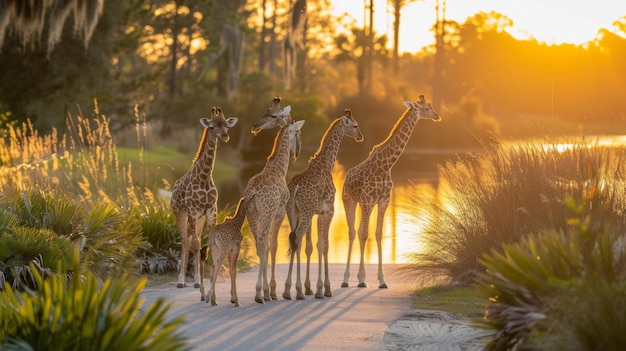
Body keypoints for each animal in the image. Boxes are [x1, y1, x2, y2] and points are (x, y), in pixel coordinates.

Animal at [169, 106, 238, 292]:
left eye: (226, 125)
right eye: (212, 126)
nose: (225, 136)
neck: (205, 177)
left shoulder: (211, 210)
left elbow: (210, 243)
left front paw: (206, 281)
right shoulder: (193, 211)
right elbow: (194, 244)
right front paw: (197, 281)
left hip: (199, 218)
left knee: (194, 240)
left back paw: (191, 280)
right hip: (180, 212)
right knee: (186, 241)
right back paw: (181, 280)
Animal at [241, 119, 304, 306]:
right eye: (297, 133)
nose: (297, 152)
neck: (280, 168)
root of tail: (253, 192)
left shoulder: (264, 215)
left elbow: (268, 246)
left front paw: (269, 289)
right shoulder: (279, 212)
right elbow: (274, 245)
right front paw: (273, 290)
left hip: (252, 213)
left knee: (259, 242)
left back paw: (261, 293)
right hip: (268, 212)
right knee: (262, 241)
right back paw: (262, 293)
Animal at [280, 109, 364, 300]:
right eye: (355, 126)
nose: (360, 137)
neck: (327, 163)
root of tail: (294, 188)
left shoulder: (314, 213)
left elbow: (311, 246)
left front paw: (310, 288)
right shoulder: (328, 210)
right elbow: (324, 246)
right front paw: (324, 288)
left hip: (293, 212)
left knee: (294, 240)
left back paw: (289, 290)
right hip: (304, 213)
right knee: (297, 238)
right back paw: (294, 291)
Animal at [342, 95, 438, 290]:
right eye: (426, 108)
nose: (437, 116)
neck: (387, 165)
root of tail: (347, 176)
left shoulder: (383, 200)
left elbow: (378, 234)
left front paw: (382, 280)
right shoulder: (368, 199)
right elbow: (365, 234)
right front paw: (363, 280)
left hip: (363, 203)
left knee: (359, 230)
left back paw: (358, 277)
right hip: (349, 200)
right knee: (353, 232)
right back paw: (347, 279)